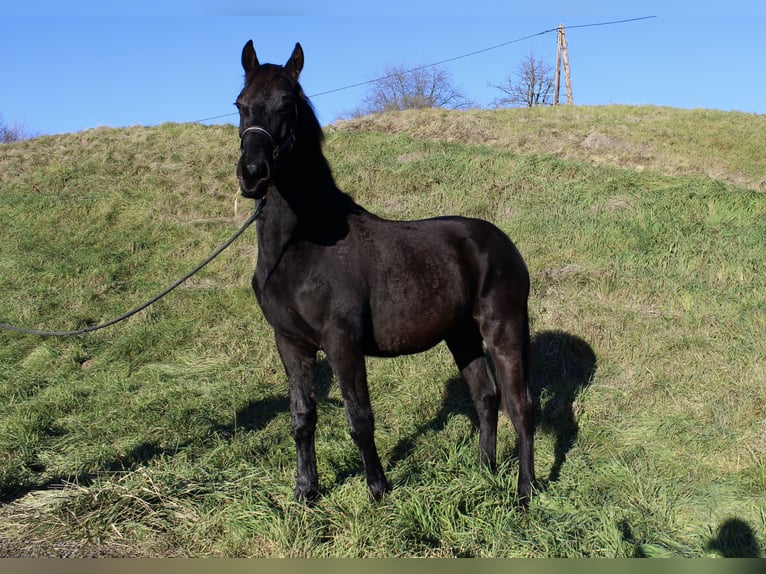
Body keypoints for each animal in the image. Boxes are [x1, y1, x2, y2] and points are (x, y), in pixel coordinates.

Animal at [237, 41, 536, 508]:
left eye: (287, 104)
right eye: (240, 104)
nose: (252, 175)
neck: (301, 245)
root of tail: (502, 243)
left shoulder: (342, 344)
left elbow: (360, 418)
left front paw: (377, 489)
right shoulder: (290, 343)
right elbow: (302, 417)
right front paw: (306, 492)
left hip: (503, 329)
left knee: (520, 406)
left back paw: (524, 492)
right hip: (461, 335)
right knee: (486, 396)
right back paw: (483, 470)